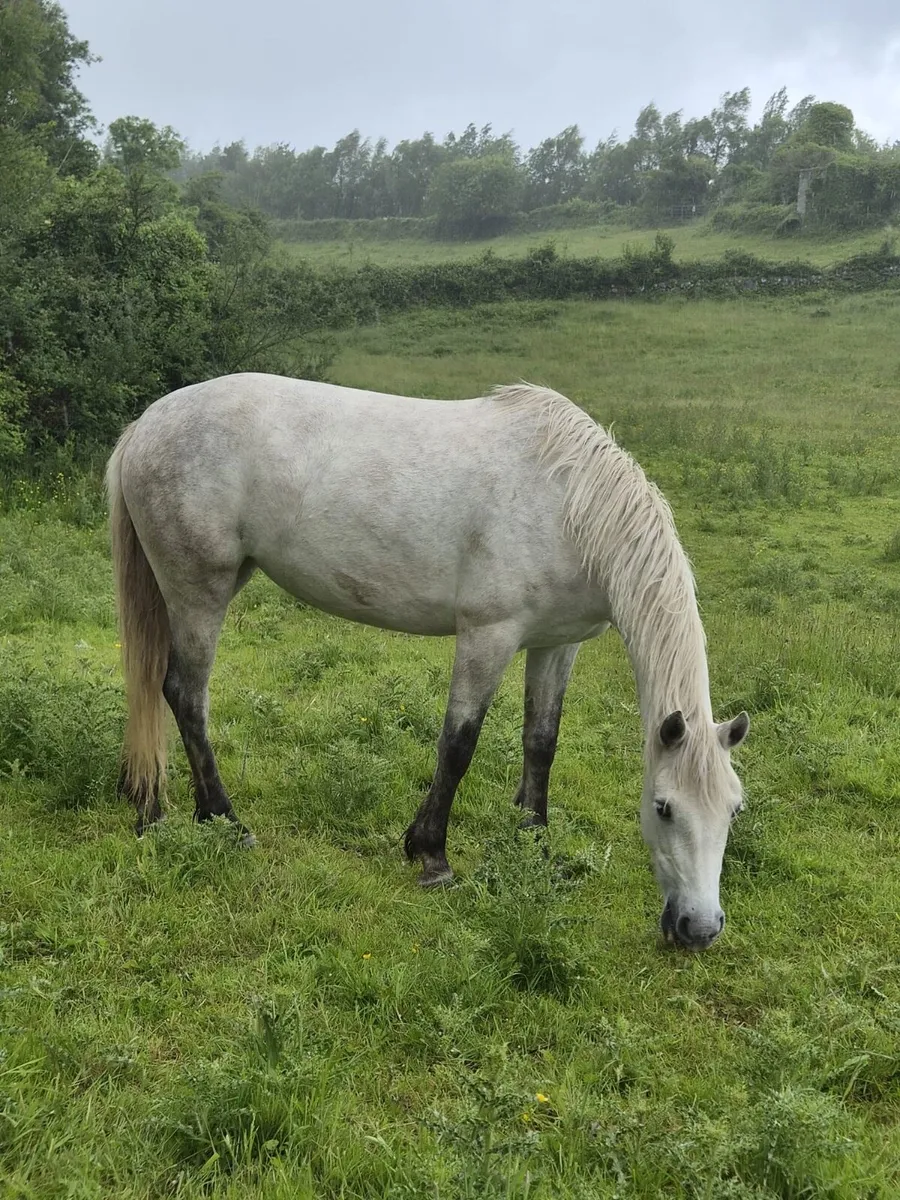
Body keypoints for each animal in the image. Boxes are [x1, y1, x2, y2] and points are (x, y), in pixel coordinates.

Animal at [106, 375, 749, 950]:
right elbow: (458, 744)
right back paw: (224, 821)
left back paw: (156, 811)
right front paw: (432, 853)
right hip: (200, 591)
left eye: (733, 810)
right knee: (186, 695)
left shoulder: (555, 644)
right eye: (664, 808)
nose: (699, 929)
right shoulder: (488, 636)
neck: (568, 503)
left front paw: (534, 841)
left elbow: (541, 741)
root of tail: (145, 426)